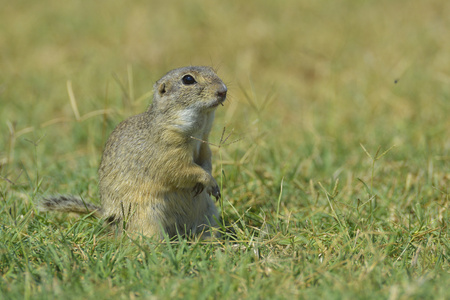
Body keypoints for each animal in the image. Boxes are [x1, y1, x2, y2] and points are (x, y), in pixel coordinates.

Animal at [40, 66, 227, 239]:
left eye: (212, 70)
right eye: (188, 79)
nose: (223, 90)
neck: (197, 130)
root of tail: (108, 218)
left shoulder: (204, 146)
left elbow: (206, 162)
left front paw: (211, 182)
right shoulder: (167, 153)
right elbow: (180, 170)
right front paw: (208, 181)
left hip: (208, 214)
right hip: (146, 218)